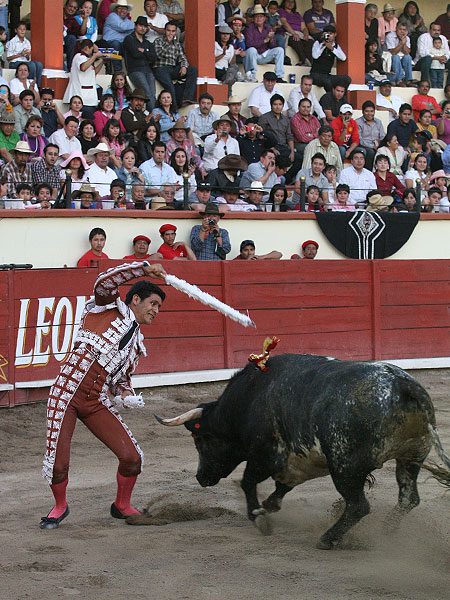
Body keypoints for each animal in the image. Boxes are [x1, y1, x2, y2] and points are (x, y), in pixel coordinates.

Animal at [156, 354, 450, 552]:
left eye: (200, 441)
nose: (200, 477)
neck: (248, 398)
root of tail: (403, 385)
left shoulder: (266, 454)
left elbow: (247, 482)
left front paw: (259, 517)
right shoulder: (299, 461)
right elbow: (281, 487)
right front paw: (269, 506)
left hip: (344, 466)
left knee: (359, 505)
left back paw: (327, 539)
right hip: (411, 458)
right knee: (408, 499)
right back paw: (387, 532)